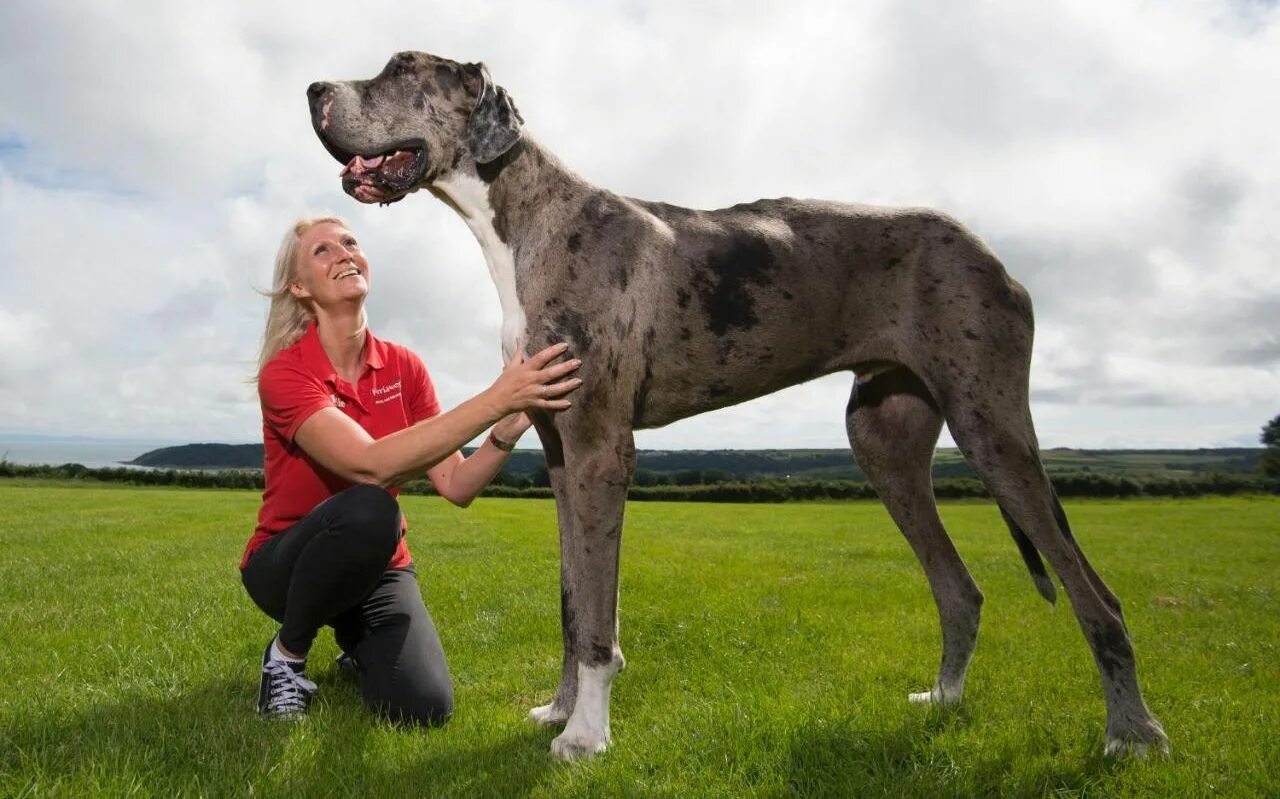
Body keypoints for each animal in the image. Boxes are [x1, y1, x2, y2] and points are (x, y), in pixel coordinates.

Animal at [307, 51, 1172, 763]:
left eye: (401, 67)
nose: (313, 89)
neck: (524, 219)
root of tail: (992, 253)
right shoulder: (558, 453)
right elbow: (571, 600)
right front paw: (559, 710)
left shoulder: (600, 449)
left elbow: (597, 617)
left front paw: (587, 736)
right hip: (883, 444)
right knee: (960, 587)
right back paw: (945, 699)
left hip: (992, 429)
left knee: (1098, 597)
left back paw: (1132, 733)